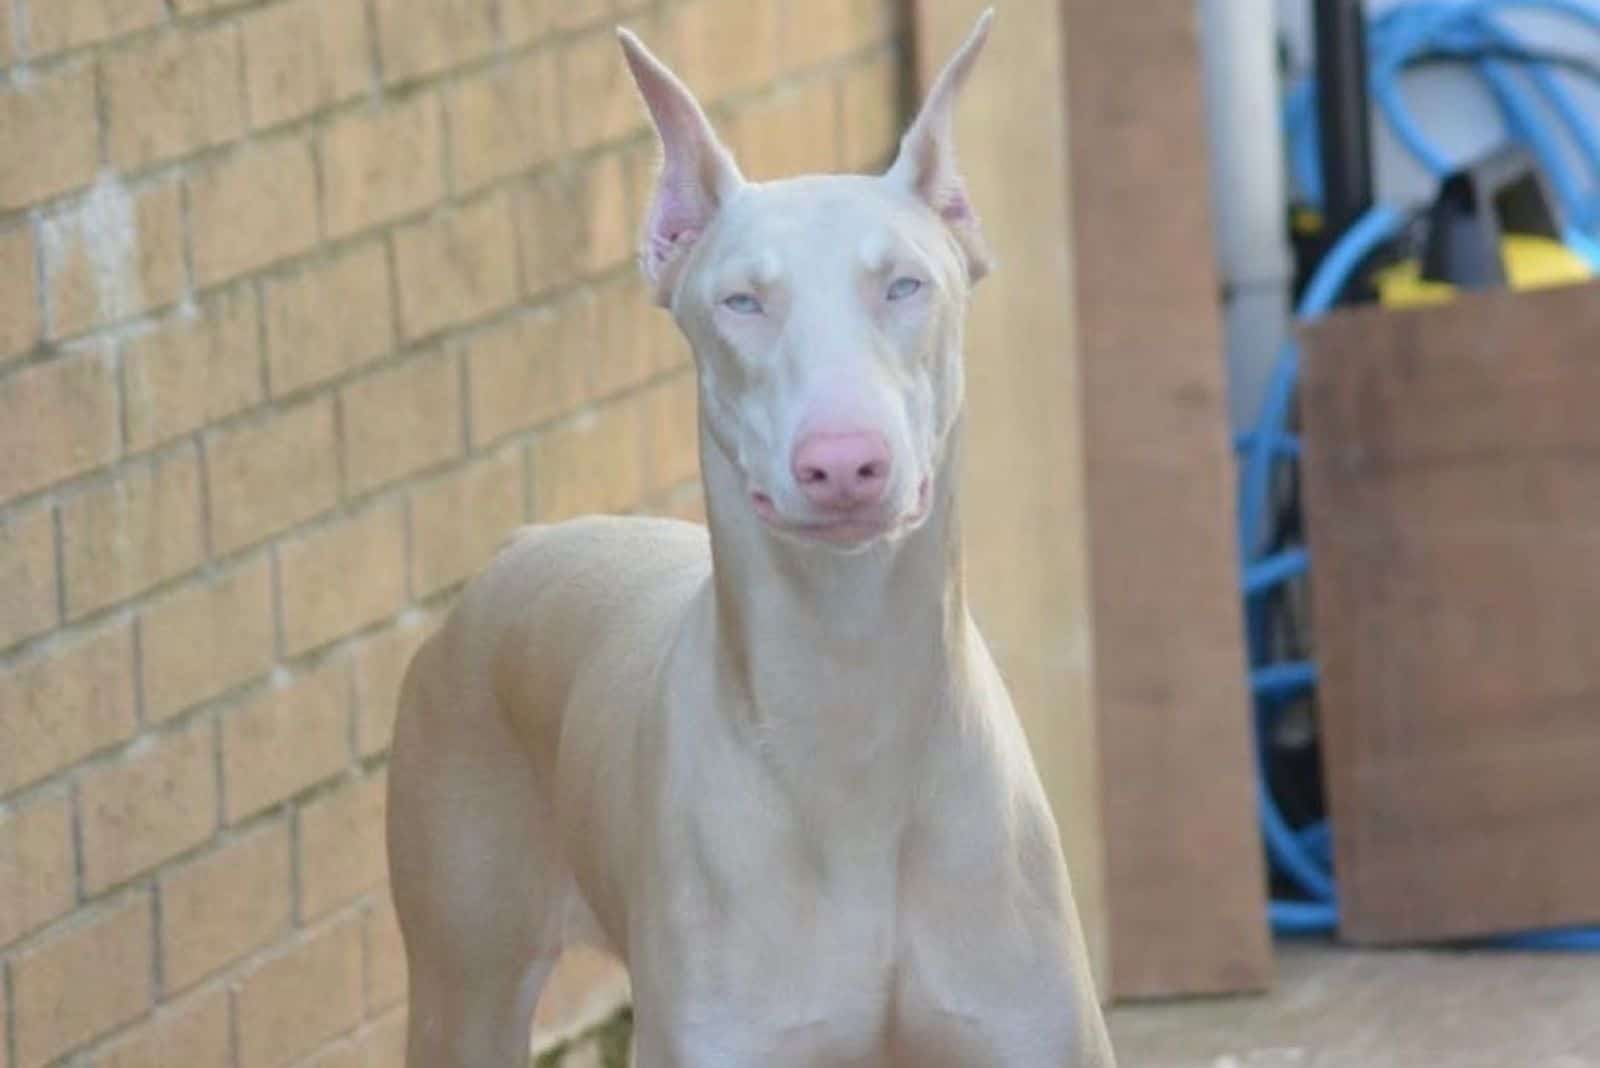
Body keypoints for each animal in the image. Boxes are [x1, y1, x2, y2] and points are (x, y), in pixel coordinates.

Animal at [387, 12, 1113, 1061]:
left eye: (905, 286)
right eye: (741, 302)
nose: (843, 463)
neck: (852, 722)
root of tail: (520, 547)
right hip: (462, 968)